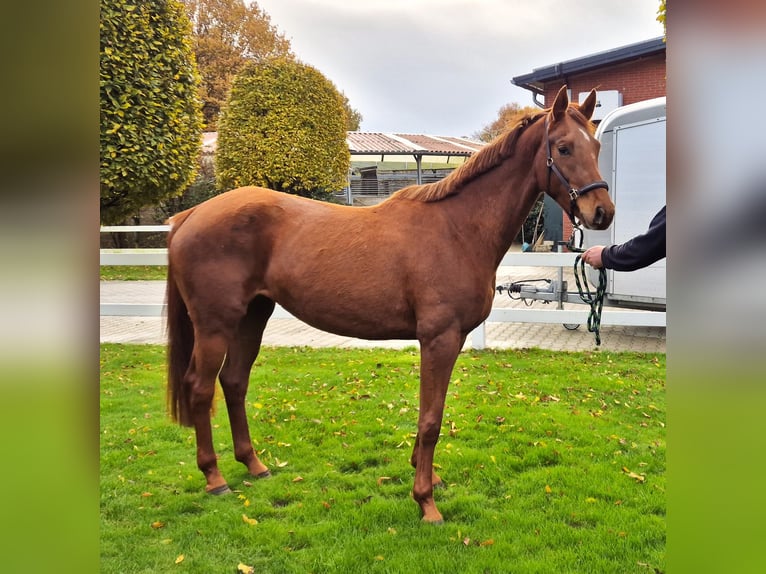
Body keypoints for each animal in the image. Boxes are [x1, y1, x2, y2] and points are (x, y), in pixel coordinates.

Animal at [165, 86, 616, 528]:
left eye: (595, 145)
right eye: (563, 148)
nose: (602, 213)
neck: (457, 228)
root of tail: (190, 215)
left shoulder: (448, 340)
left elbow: (430, 413)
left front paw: (426, 475)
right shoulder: (438, 339)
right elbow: (431, 419)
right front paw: (426, 502)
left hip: (252, 317)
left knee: (234, 382)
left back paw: (254, 465)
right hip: (215, 325)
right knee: (201, 387)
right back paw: (215, 478)